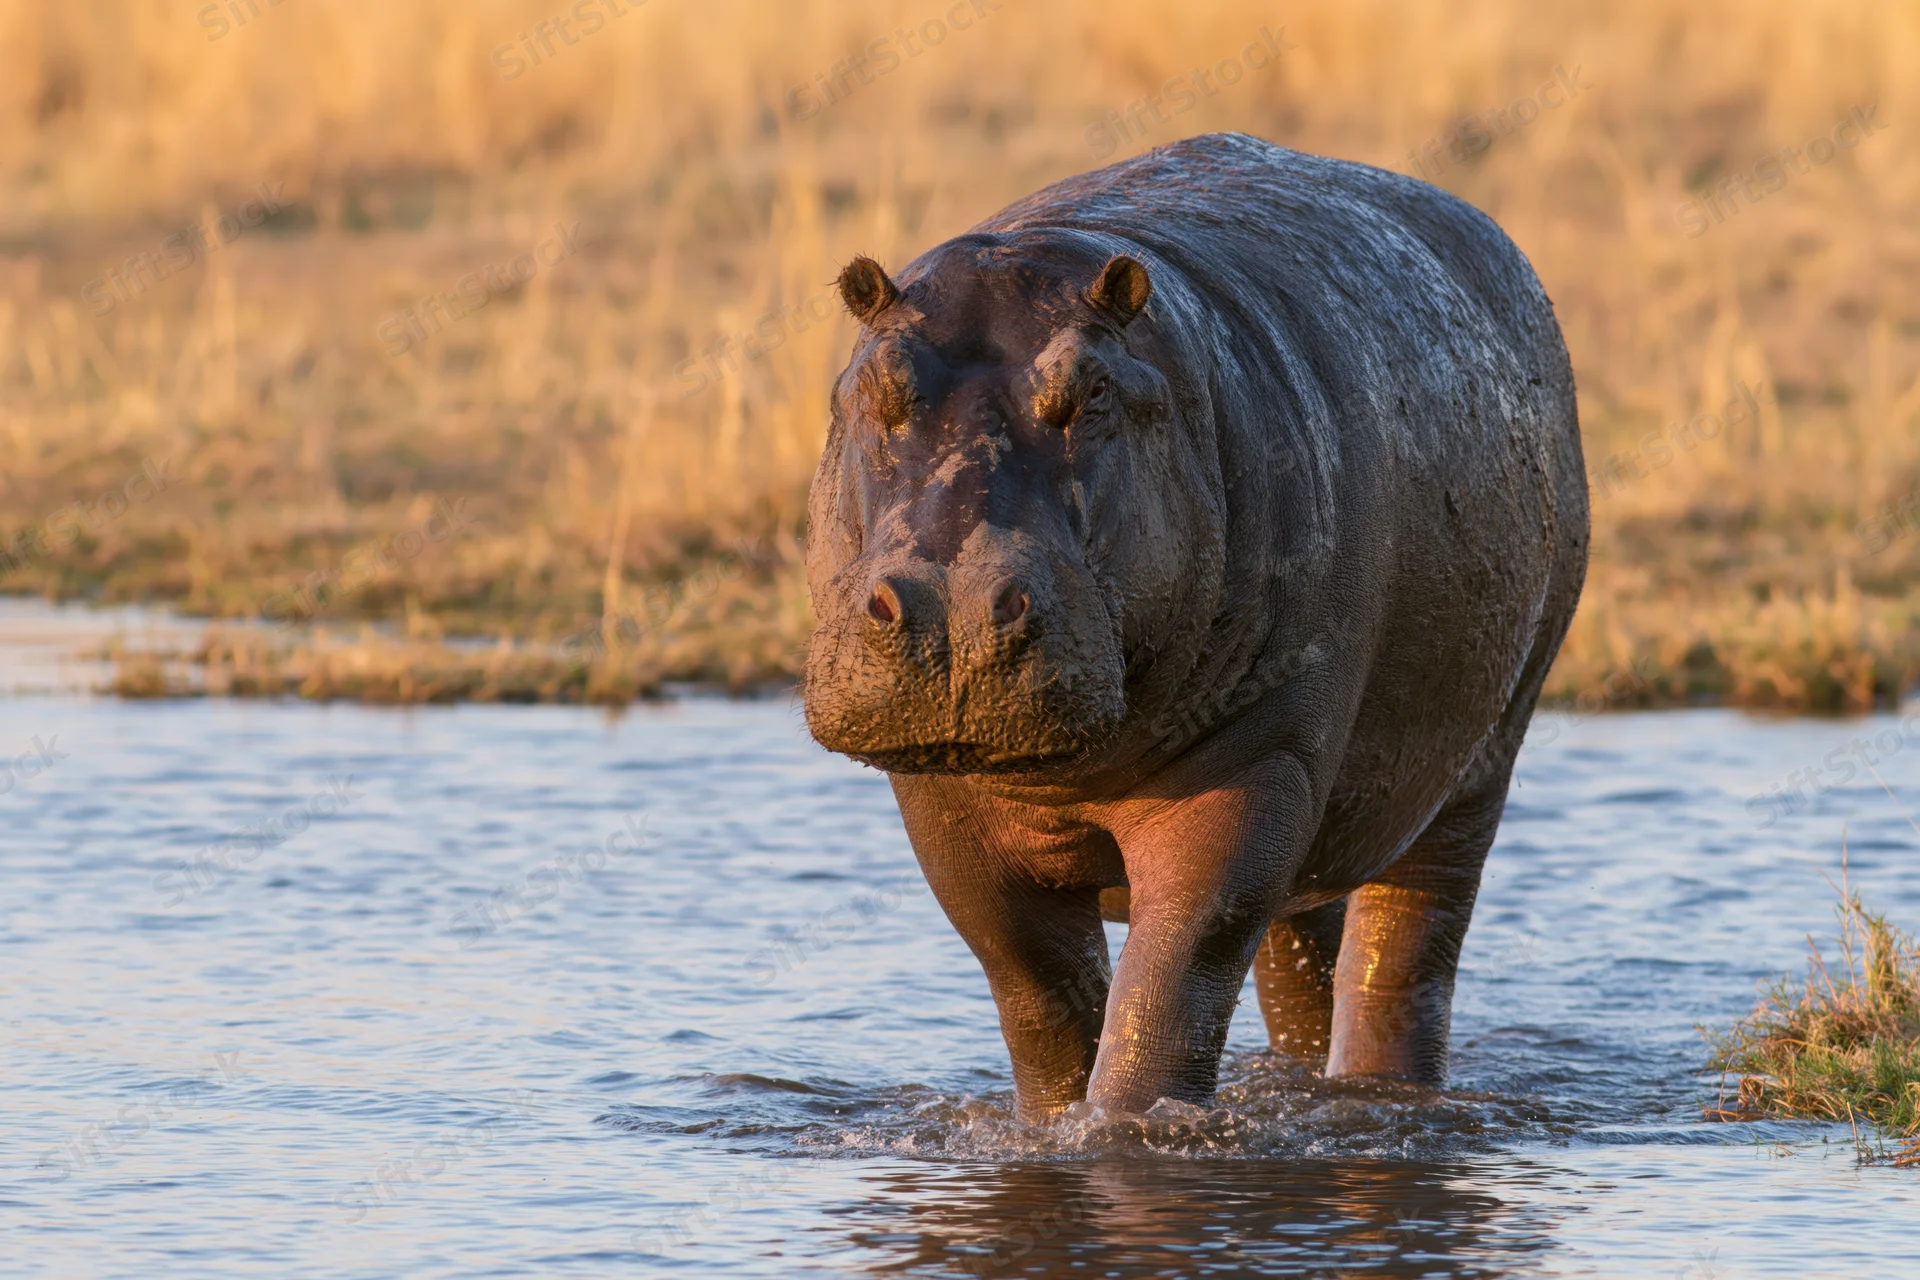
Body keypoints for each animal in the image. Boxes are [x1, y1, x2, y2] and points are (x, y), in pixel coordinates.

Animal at [804, 133, 1587, 1121]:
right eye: (872, 383)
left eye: (1094, 391)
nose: (957, 610)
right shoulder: (942, 803)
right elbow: (1040, 994)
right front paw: (1054, 1125)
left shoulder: (1261, 759)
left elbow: (1177, 970)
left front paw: (1128, 1130)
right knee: (1305, 952)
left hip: (1480, 759)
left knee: (1408, 949)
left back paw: (1386, 1093)